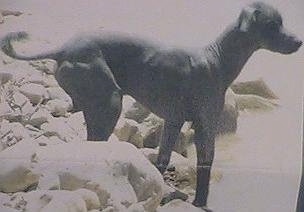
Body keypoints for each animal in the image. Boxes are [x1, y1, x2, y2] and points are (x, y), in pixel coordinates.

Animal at [1, 2, 302, 210]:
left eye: (282, 22)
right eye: (273, 24)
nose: (299, 41)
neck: (216, 59)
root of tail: (63, 49)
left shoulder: (174, 121)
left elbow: (163, 159)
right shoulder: (206, 124)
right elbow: (205, 164)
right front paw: (200, 203)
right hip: (109, 102)